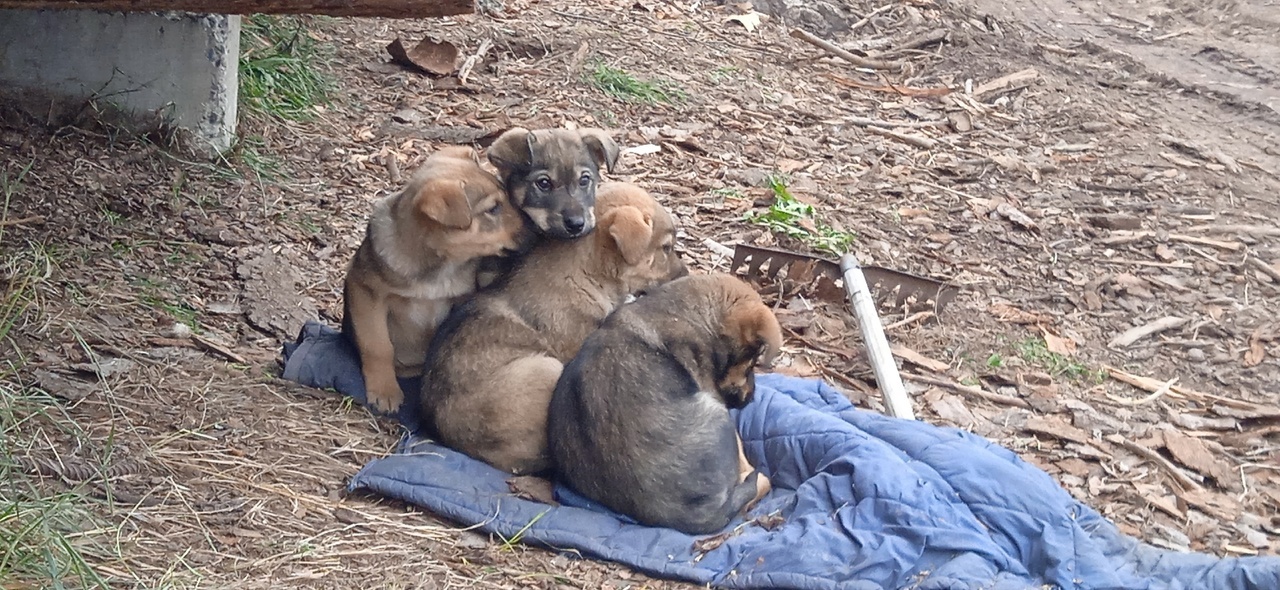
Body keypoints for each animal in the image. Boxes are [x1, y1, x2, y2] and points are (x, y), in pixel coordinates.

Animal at [340, 145, 529, 414]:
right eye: (493, 209)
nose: (536, 229)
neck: (441, 267)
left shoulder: (461, 299)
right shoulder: (366, 291)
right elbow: (377, 345)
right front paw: (384, 391)